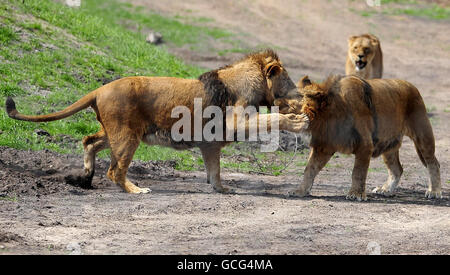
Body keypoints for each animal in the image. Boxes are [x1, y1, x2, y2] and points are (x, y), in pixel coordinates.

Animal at [5, 50, 310, 196]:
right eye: (289, 80)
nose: (300, 95)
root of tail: (99, 90)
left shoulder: (210, 144)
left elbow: (215, 171)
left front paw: (221, 189)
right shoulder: (235, 123)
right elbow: (271, 118)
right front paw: (296, 120)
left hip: (116, 133)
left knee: (89, 141)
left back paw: (87, 176)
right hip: (127, 136)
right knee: (115, 171)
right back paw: (135, 190)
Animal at [274, 74, 442, 202]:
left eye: (288, 100)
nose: (274, 101)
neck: (330, 115)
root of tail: (411, 85)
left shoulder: (365, 145)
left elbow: (358, 172)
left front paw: (355, 194)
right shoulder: (323, 146)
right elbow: (309, 169)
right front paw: (300, 191)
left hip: (423, 135)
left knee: (433, 163)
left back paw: (434, 191)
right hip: (388, 145)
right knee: (397, 169)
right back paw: (386, 189)